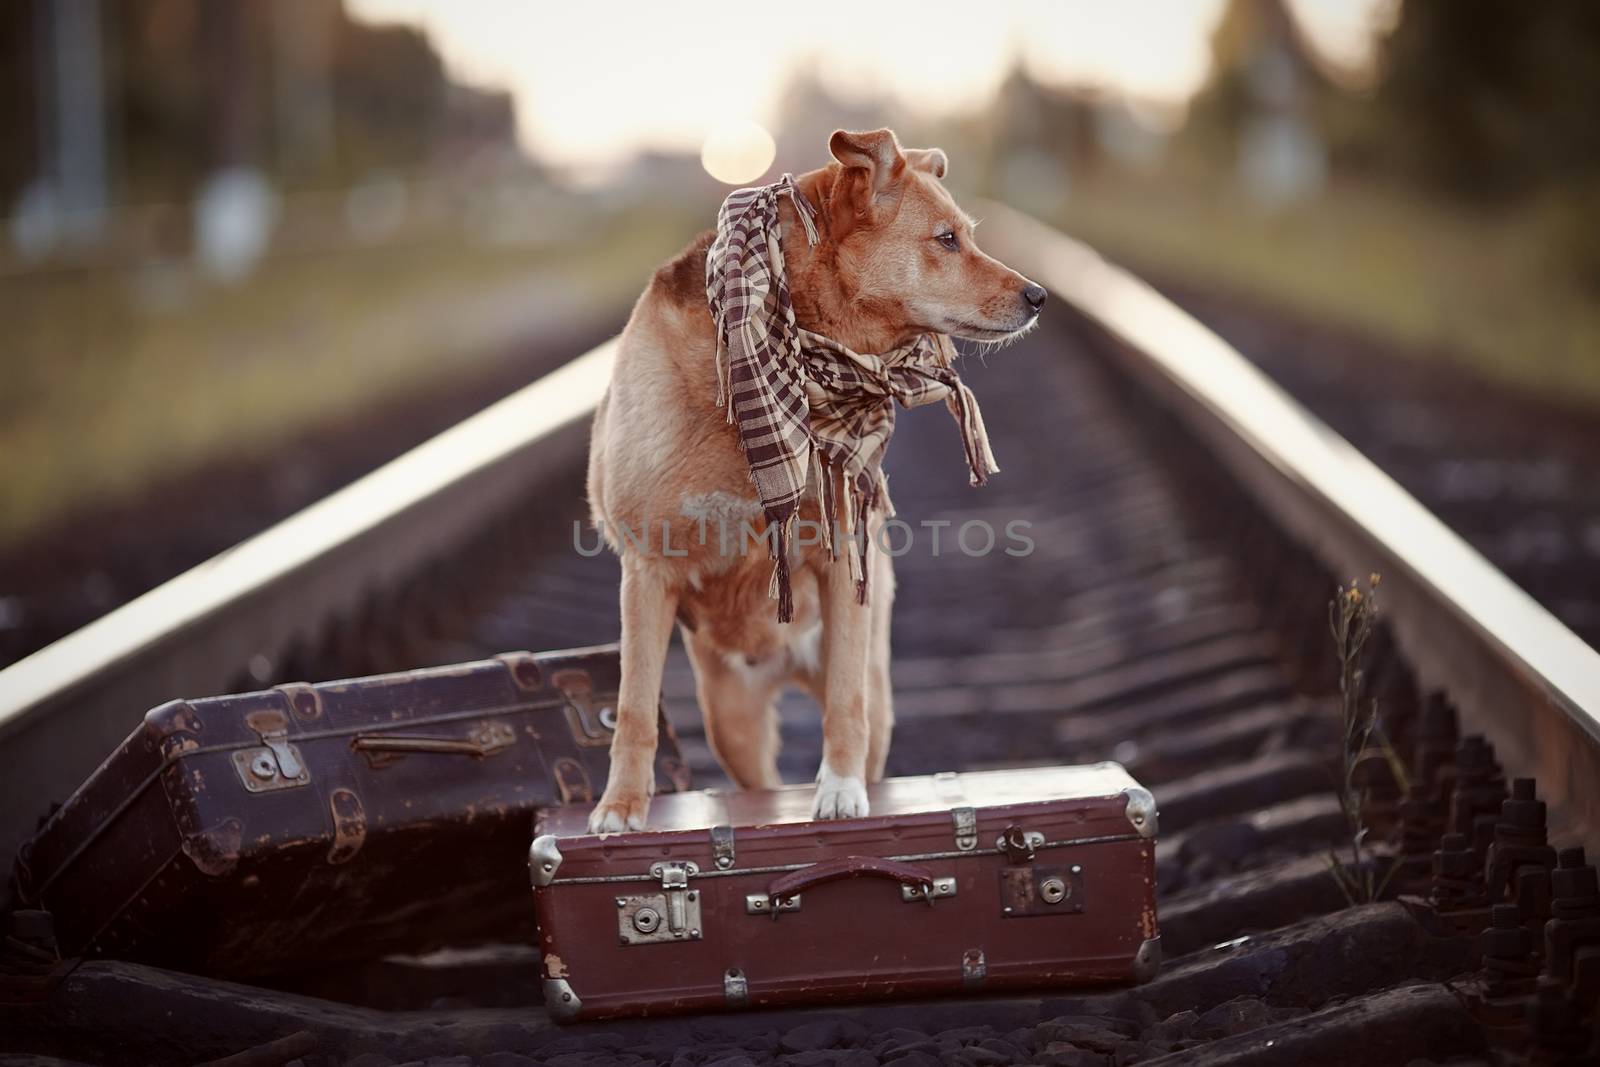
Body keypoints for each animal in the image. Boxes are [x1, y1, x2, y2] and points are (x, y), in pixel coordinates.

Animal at [582, 127, 1043, 831]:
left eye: (965, 234)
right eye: (946, 240)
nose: (1040, 297)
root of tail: (784, 661)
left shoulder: (842, 562)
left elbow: (845, 704)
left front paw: (840, 792)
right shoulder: (646, 571)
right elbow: (634, 707)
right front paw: (621, 807)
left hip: (867, 678)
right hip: (730, 719)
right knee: (756, 779)